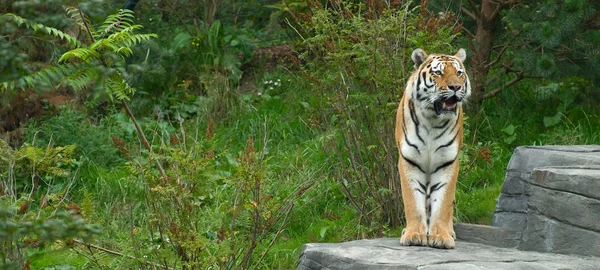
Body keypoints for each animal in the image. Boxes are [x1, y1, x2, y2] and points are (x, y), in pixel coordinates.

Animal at [396, 48, 472, 249]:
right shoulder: (409, 161)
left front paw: (442, 236)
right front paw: (414, 235)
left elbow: (443, 203)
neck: (433, 121)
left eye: (459, 73)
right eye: (438, 72)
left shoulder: (447, 163)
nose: (455, 87)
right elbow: (413, 201)